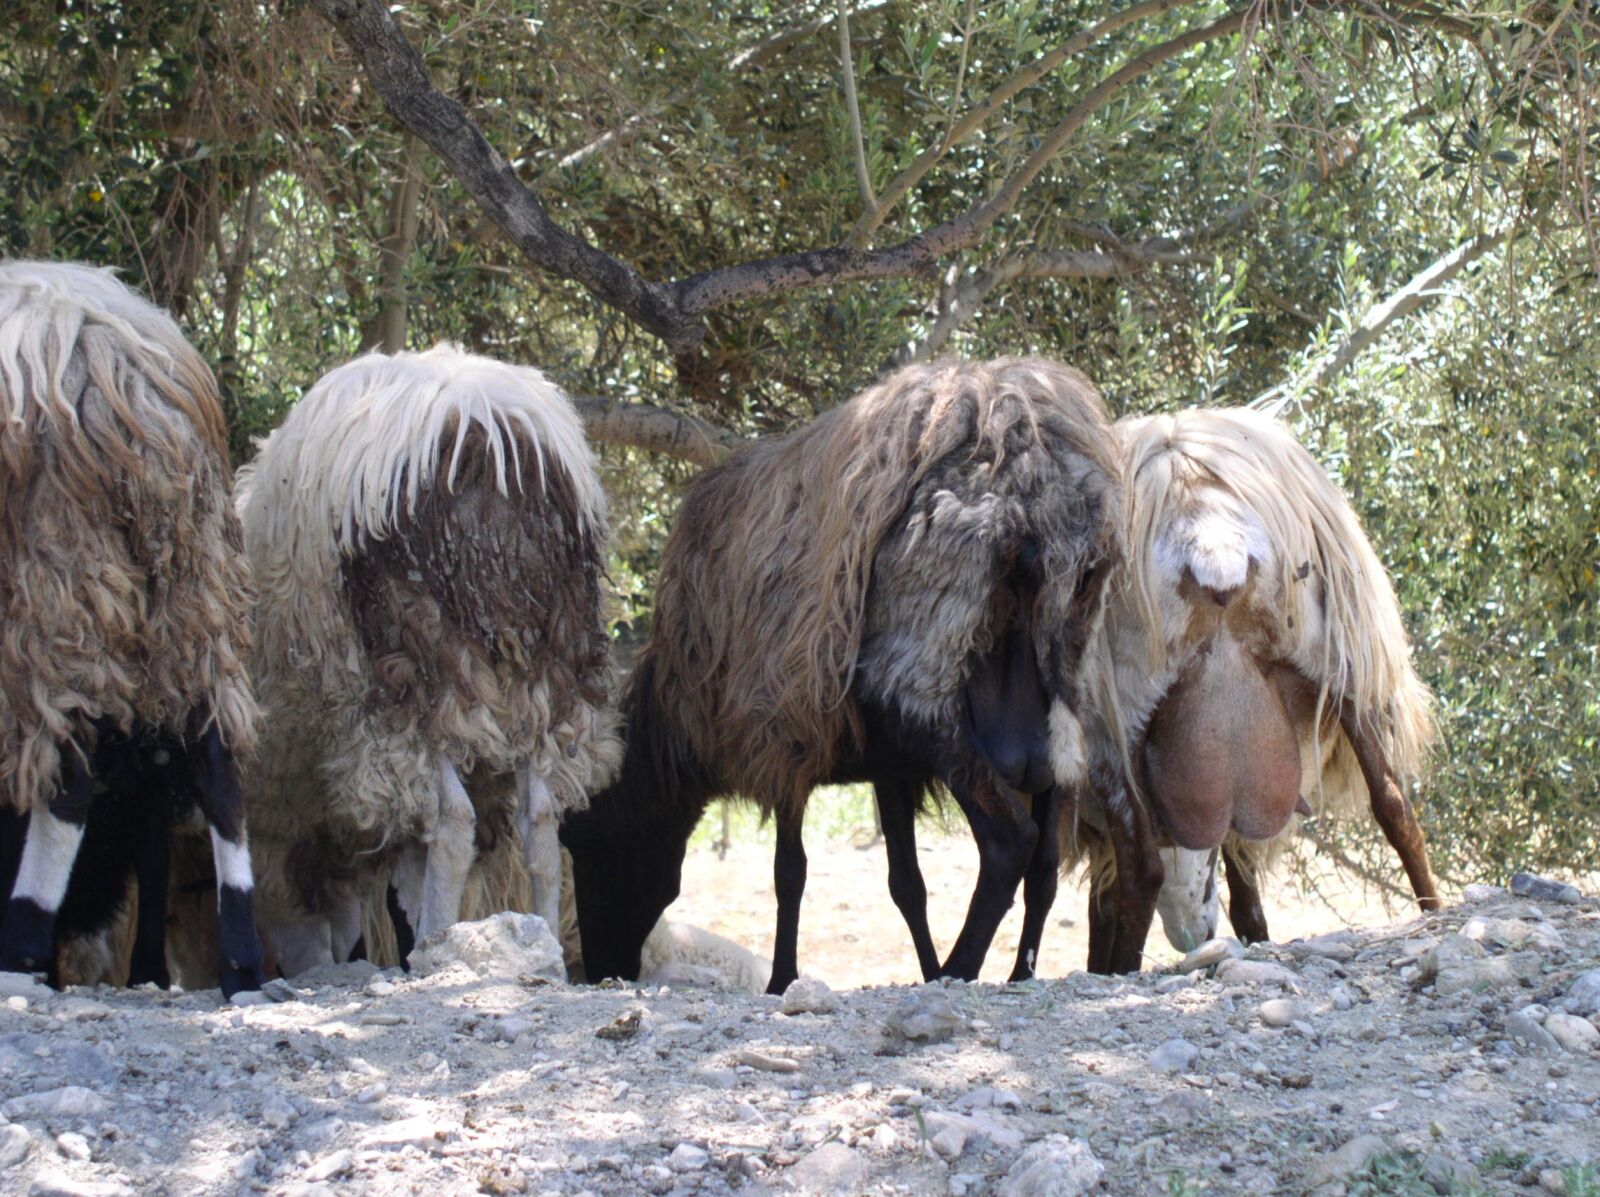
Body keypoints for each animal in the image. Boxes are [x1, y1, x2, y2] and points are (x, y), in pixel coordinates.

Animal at [0, 260, 264, 996]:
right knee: (218, 768)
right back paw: (240, 963)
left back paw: (22, 949)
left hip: (58, 583)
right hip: (194, 589)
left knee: (68, 778)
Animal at [237, 344, 621, 977]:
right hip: (551, 663)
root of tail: (482, 418)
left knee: (452, 822)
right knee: (540, 822)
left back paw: (436, 951)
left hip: (414, 660)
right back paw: (549, 954)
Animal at [561, 357, 1151, 993]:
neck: (677, 718)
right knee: (1043, 865)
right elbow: (906, 884)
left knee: (1009, 844)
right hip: (1060, 702)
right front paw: (920, 965)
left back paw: (959, 969)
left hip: (926, 681)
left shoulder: (781, 733)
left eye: (589, 847)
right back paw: (1017, 974)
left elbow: (788, 874)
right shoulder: (888, 765)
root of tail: (1026, 468)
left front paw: (782, 979)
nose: (601, 973)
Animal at [1064, 406, 1438, 961]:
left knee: (1141, 867)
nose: (1191, 936)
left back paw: (1121, 969)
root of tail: (1209, 534)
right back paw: (1434, 910)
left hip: (1110, 716)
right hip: (1337, 665)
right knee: (1394, 804)